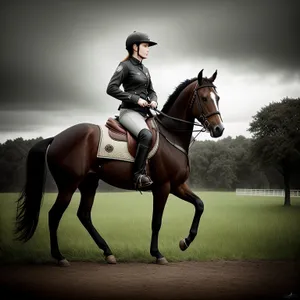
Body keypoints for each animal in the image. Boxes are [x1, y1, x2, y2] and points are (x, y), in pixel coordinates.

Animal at [15, 68, 224, 264]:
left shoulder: (177, 185)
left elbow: (200, 205)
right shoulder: (163, 187)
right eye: (204, 98)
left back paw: (107, 252)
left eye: (218, 98)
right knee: (54, 215)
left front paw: (185, 242)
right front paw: (157, 254)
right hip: (68, 185)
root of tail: (56, 138)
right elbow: (156, 222)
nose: (219, 129)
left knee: (84, 215)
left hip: (89, 183)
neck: (171, 134)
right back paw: (60, 257)